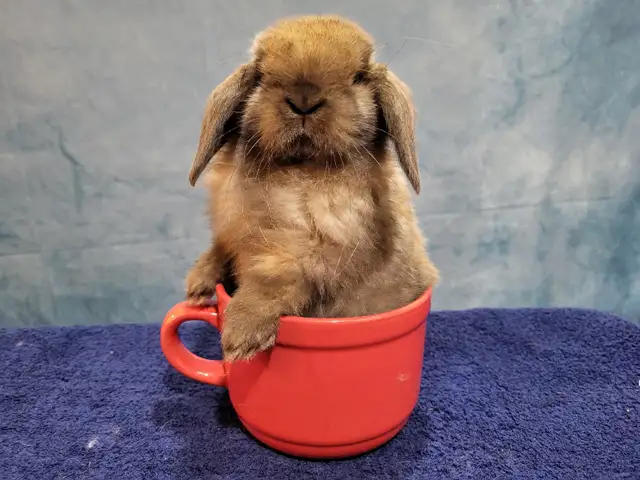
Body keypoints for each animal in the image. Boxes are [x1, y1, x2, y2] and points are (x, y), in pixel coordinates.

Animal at [185, 15, 439, 361]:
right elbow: (222, 250)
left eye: (359, 77)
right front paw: (198, 285)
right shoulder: (235, 232)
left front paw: (241, 334)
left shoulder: (319, 258)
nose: (304, 100)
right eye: (260, 75)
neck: (302, 172)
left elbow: (277, 281)